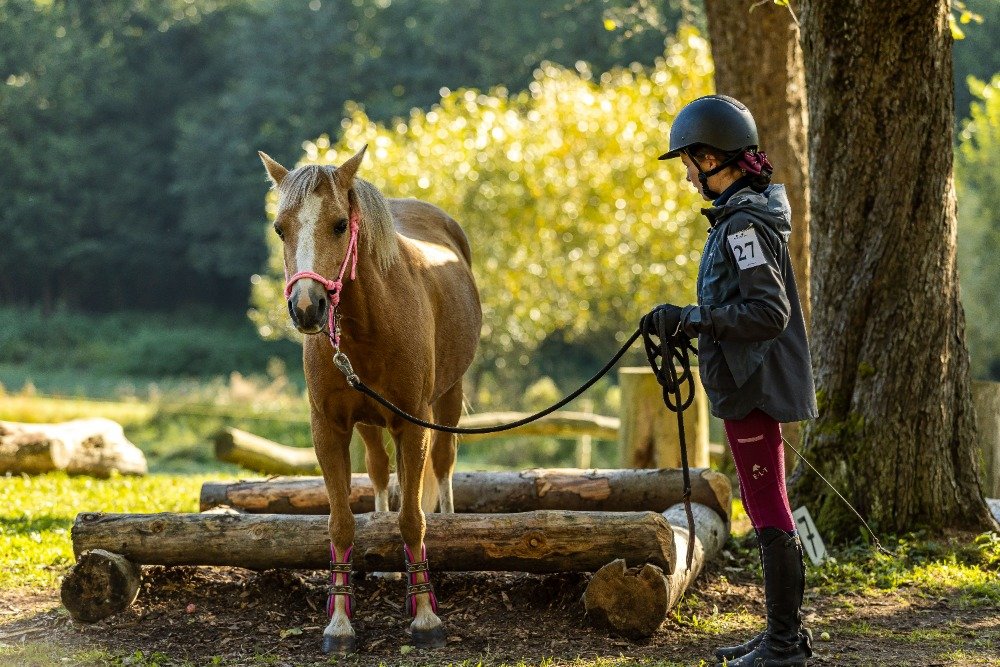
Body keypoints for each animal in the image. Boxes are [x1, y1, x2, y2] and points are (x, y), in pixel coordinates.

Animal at [256, 146, 478, 652]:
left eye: (340, 224)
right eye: (280, 228)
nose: (307, 307)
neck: (373, 322)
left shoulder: (413, 422)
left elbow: (413, 519)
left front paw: (425, 617)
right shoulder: (330, 427)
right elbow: (342, 521)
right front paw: (339, 621)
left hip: (447, 400)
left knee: (443, 467)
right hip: (372, 423)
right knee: (379, 474)